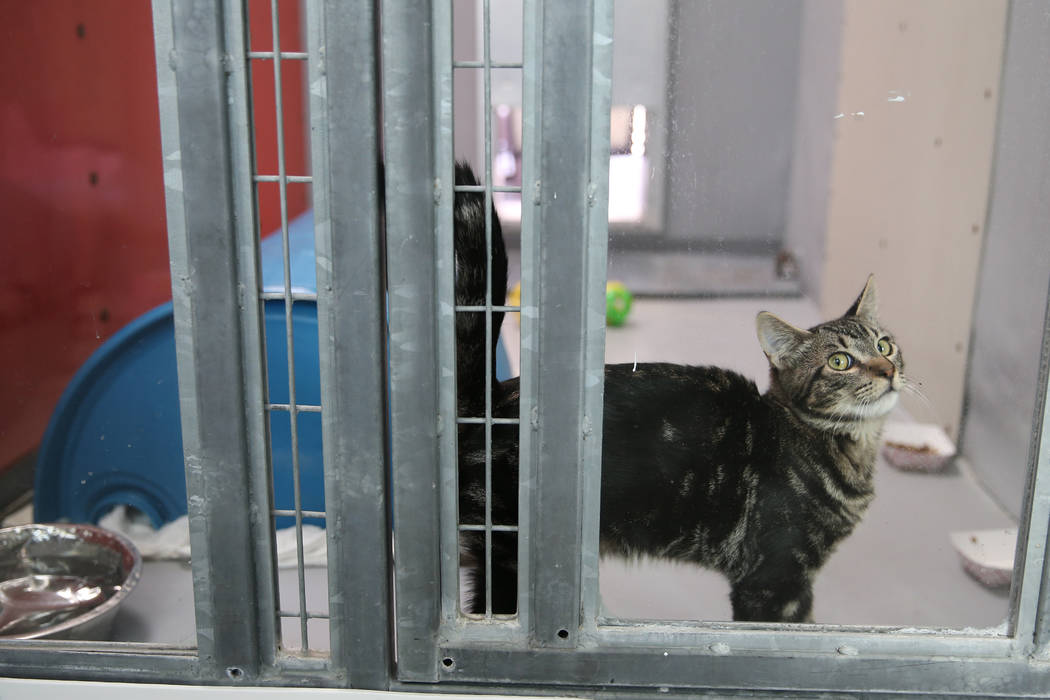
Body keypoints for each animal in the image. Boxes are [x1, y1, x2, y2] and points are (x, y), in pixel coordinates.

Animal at [451, 164, 902, 625]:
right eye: (840, 362)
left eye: (884, 345)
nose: (888, 370)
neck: (847, 448)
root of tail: (492, 403)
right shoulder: (774, 580)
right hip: (510, 565)